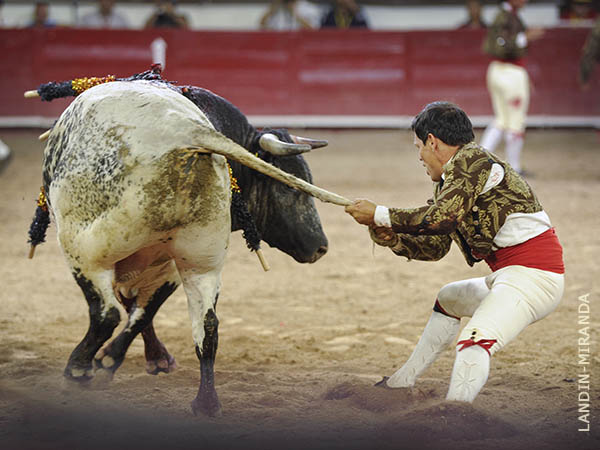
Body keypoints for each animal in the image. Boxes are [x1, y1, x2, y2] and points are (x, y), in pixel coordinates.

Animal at [37, 76, 344, 414]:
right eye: (289, 187)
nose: (320, 247)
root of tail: (188, 131)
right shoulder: (168, 264)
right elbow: (144, 310)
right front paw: (142, 359)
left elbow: (135, 309)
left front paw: (114, 360)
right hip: (201, 262)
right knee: (207, 326)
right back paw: (205, 404)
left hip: (85, 249)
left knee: (106, 313)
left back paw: (78, 368)